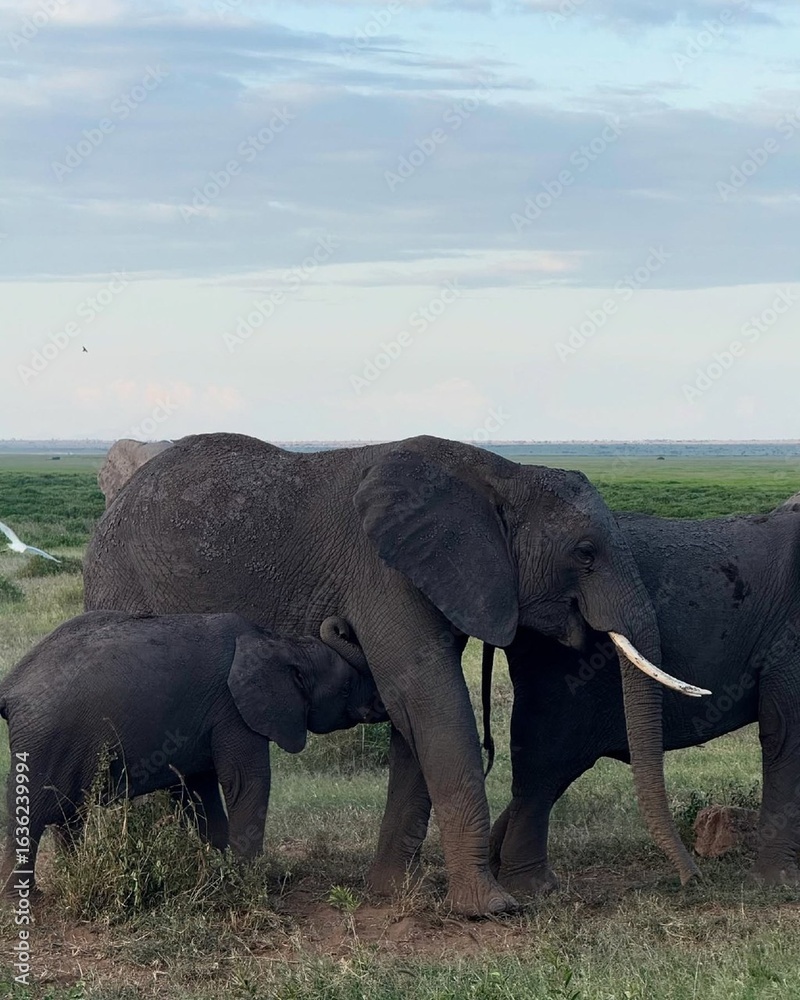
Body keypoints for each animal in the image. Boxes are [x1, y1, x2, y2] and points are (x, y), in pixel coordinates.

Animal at [0, 610, 384, 896]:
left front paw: (219, 870)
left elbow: (199, 790)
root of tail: (10, 686)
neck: (279, 643)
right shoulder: (232, 710)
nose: (342, 624)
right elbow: (246, 782)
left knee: (68, 815)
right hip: (44, 739)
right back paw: (27, 899)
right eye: (346, 686)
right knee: (33, 813)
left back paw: (68, 876)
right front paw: (248, 882)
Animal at [82, 432, 704, 915]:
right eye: (585, 553)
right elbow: (431, 701)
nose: (689, 881)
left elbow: (414, 718)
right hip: (119, 583)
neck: (500, 474)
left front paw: (387, 895)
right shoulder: (386, 576)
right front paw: (491, 909)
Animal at [488, 504, 800, 895]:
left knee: (556, 767)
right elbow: (785, 731)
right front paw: (779, 883)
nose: (693, 881)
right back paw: (527, 885)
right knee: (545, 763)